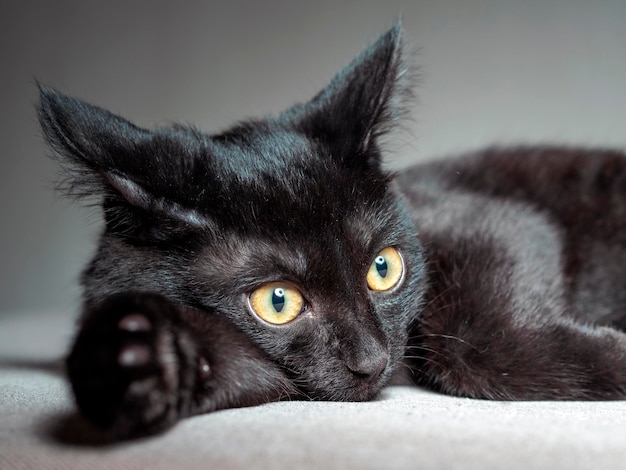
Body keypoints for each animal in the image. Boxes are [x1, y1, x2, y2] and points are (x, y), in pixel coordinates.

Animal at [37, 23, 624, 438]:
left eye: (383, 268)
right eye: (278, 301)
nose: (374, 360)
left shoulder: (487, 220)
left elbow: (474, 345)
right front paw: (129, 360)